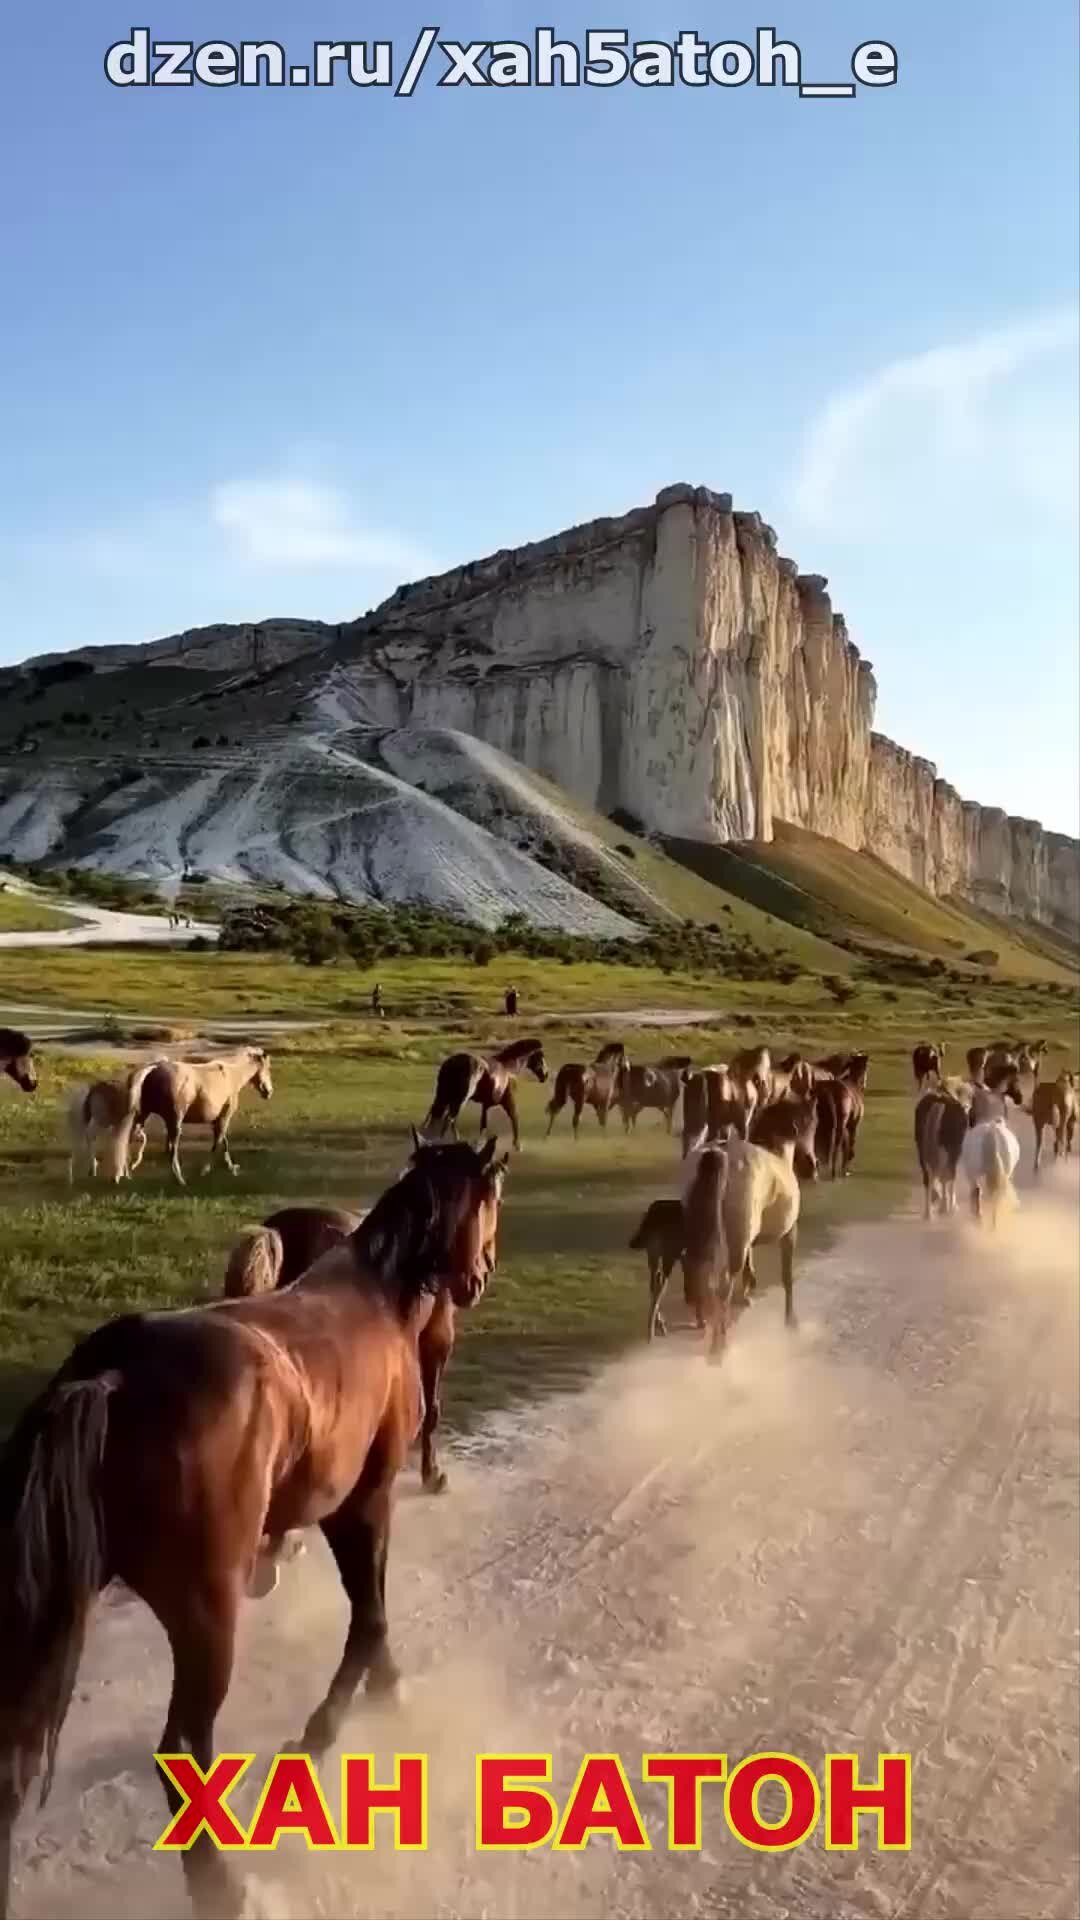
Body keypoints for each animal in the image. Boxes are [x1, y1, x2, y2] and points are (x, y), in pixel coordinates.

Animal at [0, 1128, 503, 1920]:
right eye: (490, 1197)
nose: (480, 1274)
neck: (377, 1301)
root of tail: (111, 1377)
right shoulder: (361, 1503)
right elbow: (370, 1616)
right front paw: (321, 1736)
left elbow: (372, 1616)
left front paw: (387, 1694)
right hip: (207, 1613)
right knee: (182, 1747)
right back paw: (225, 1888)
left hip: (50, 1607)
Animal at [132, 1052, 272, 1182]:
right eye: (267, 1068)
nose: (269, 1092)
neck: (231, 1076)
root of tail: (153, 1069)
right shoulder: (225, 1116)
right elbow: (218, 1142)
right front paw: (206, 1170)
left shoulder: (217, 1119)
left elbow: (224, 1141)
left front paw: (230, 1166)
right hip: (175, 1122)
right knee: (173, 1150)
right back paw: (179, 1179)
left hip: (144, 1117)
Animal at [907, 1090, 968, 1221]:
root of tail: (939, 1101)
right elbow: (949, 1177)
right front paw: (951, 1206)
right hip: (951, 1150)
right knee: (946, 1175)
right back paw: (944, 1208)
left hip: (921, 1148)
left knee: (928, 1177)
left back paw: (928, 1214)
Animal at [957, 1059, 1014, 1221]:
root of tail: (991, 1133)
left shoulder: (971, 1174)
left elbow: (975, 1192)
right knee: (994, 1197)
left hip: (975, 1173)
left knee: (978, 1192)